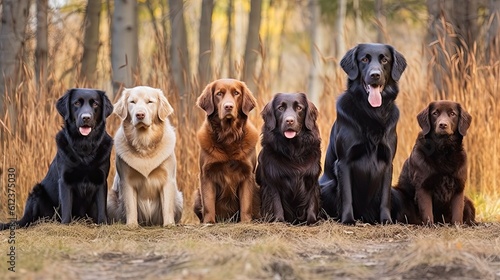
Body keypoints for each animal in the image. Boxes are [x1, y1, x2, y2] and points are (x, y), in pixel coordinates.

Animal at [0, 88, 113, 230]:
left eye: (95, 104)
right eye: (76, 103)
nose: (86, 117)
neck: (84, 146)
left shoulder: (101, 180)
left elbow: (102, 207)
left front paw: (103, 224)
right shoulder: (65, 180)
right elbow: (66, 206)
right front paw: (66, 225)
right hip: (37, 192)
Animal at [107, 86, 184, 226]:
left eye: (150, 102)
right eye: (132, 102)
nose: (140, 115)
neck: (144, 145)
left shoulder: (167, 179)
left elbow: (167, 207)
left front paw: (169, 224)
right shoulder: (126, 180)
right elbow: (130, 206)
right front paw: (132, 225)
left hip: (179, 198)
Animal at [193, 78, 260, 223]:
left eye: (236, 93)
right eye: (219, 94)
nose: (228, 106)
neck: (228, 137)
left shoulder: (248, 174)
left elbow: (246, 204)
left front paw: (246, 222)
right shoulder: (206, 174)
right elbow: (208, 204)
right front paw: (209, 222)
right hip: (196, 195)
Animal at [256, 93, 322, 224]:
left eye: (299, 108)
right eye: (280, 108)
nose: (289, 121)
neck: (293, 151)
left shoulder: (312, 180)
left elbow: (312, 203)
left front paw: (312, 221)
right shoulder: (272, 182)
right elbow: (276, 204)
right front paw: (278, 221)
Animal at [320, 42, 406, 224]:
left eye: (384, 60)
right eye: (364, 59)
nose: (375, 75)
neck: (372, 112)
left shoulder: (388, 162)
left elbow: (385, 198)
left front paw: (386, 220)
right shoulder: (344, 162)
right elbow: (347, 196)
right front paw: (347, 220)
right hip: (327, 186)